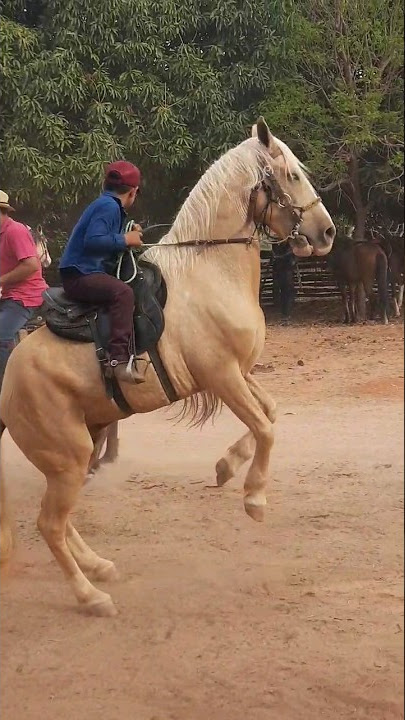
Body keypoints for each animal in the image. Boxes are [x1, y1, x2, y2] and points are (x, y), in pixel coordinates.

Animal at [0, 118, 335, 617]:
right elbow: (265, 428)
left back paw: (99, 567)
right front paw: (254, 497)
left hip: (77, 448)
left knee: (60, 518)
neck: (211, 272)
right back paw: (91, 595)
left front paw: (226, 467)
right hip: (67, 455)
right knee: (49, 525)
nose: (327, 232)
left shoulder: (241, 373)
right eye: (293, 175)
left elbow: (270, 414)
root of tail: (8, 379)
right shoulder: (222, 375)